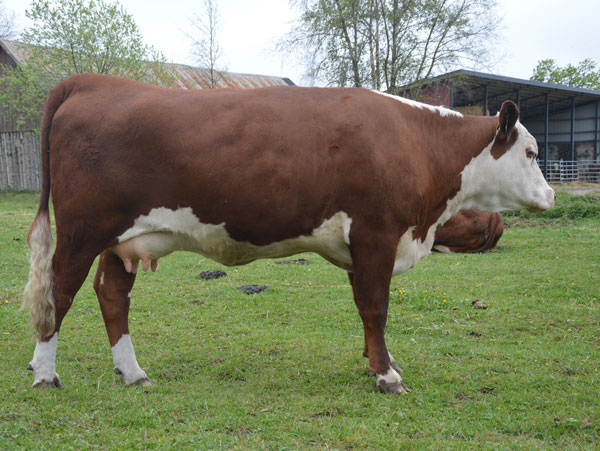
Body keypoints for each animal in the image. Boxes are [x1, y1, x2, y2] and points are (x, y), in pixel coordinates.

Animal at [22, 73, 555, 394]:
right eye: (531, 152)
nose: (551, 195)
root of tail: (95, 81)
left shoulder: (359, 245)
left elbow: (365, 309)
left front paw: (373, 361)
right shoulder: (377, 234)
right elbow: (377, 306)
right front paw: (387, 375)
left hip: (124, 241)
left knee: (112, 293)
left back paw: (132, 373)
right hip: (82, 231)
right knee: (60, 292)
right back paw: (46, 374)